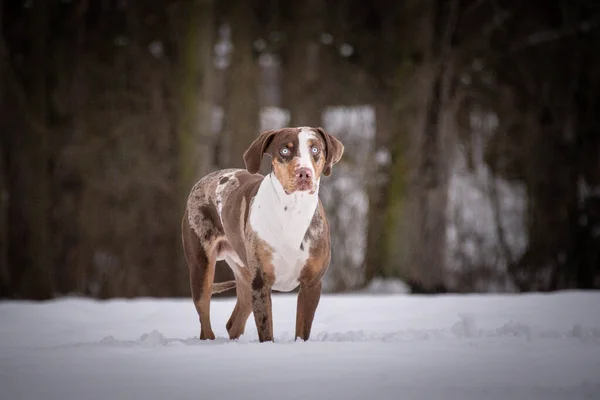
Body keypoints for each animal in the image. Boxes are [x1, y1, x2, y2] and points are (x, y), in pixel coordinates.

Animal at [180, 126, 344, 342]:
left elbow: (302, 331)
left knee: (234, 322)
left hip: (245, 277)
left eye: (315, 149)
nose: (304, 173)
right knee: (205, 319)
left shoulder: (311, 284)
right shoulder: (261, 283)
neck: (293, 211)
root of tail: (205, 179)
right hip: (202, 267)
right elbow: (266, 330)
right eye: (284, 150)